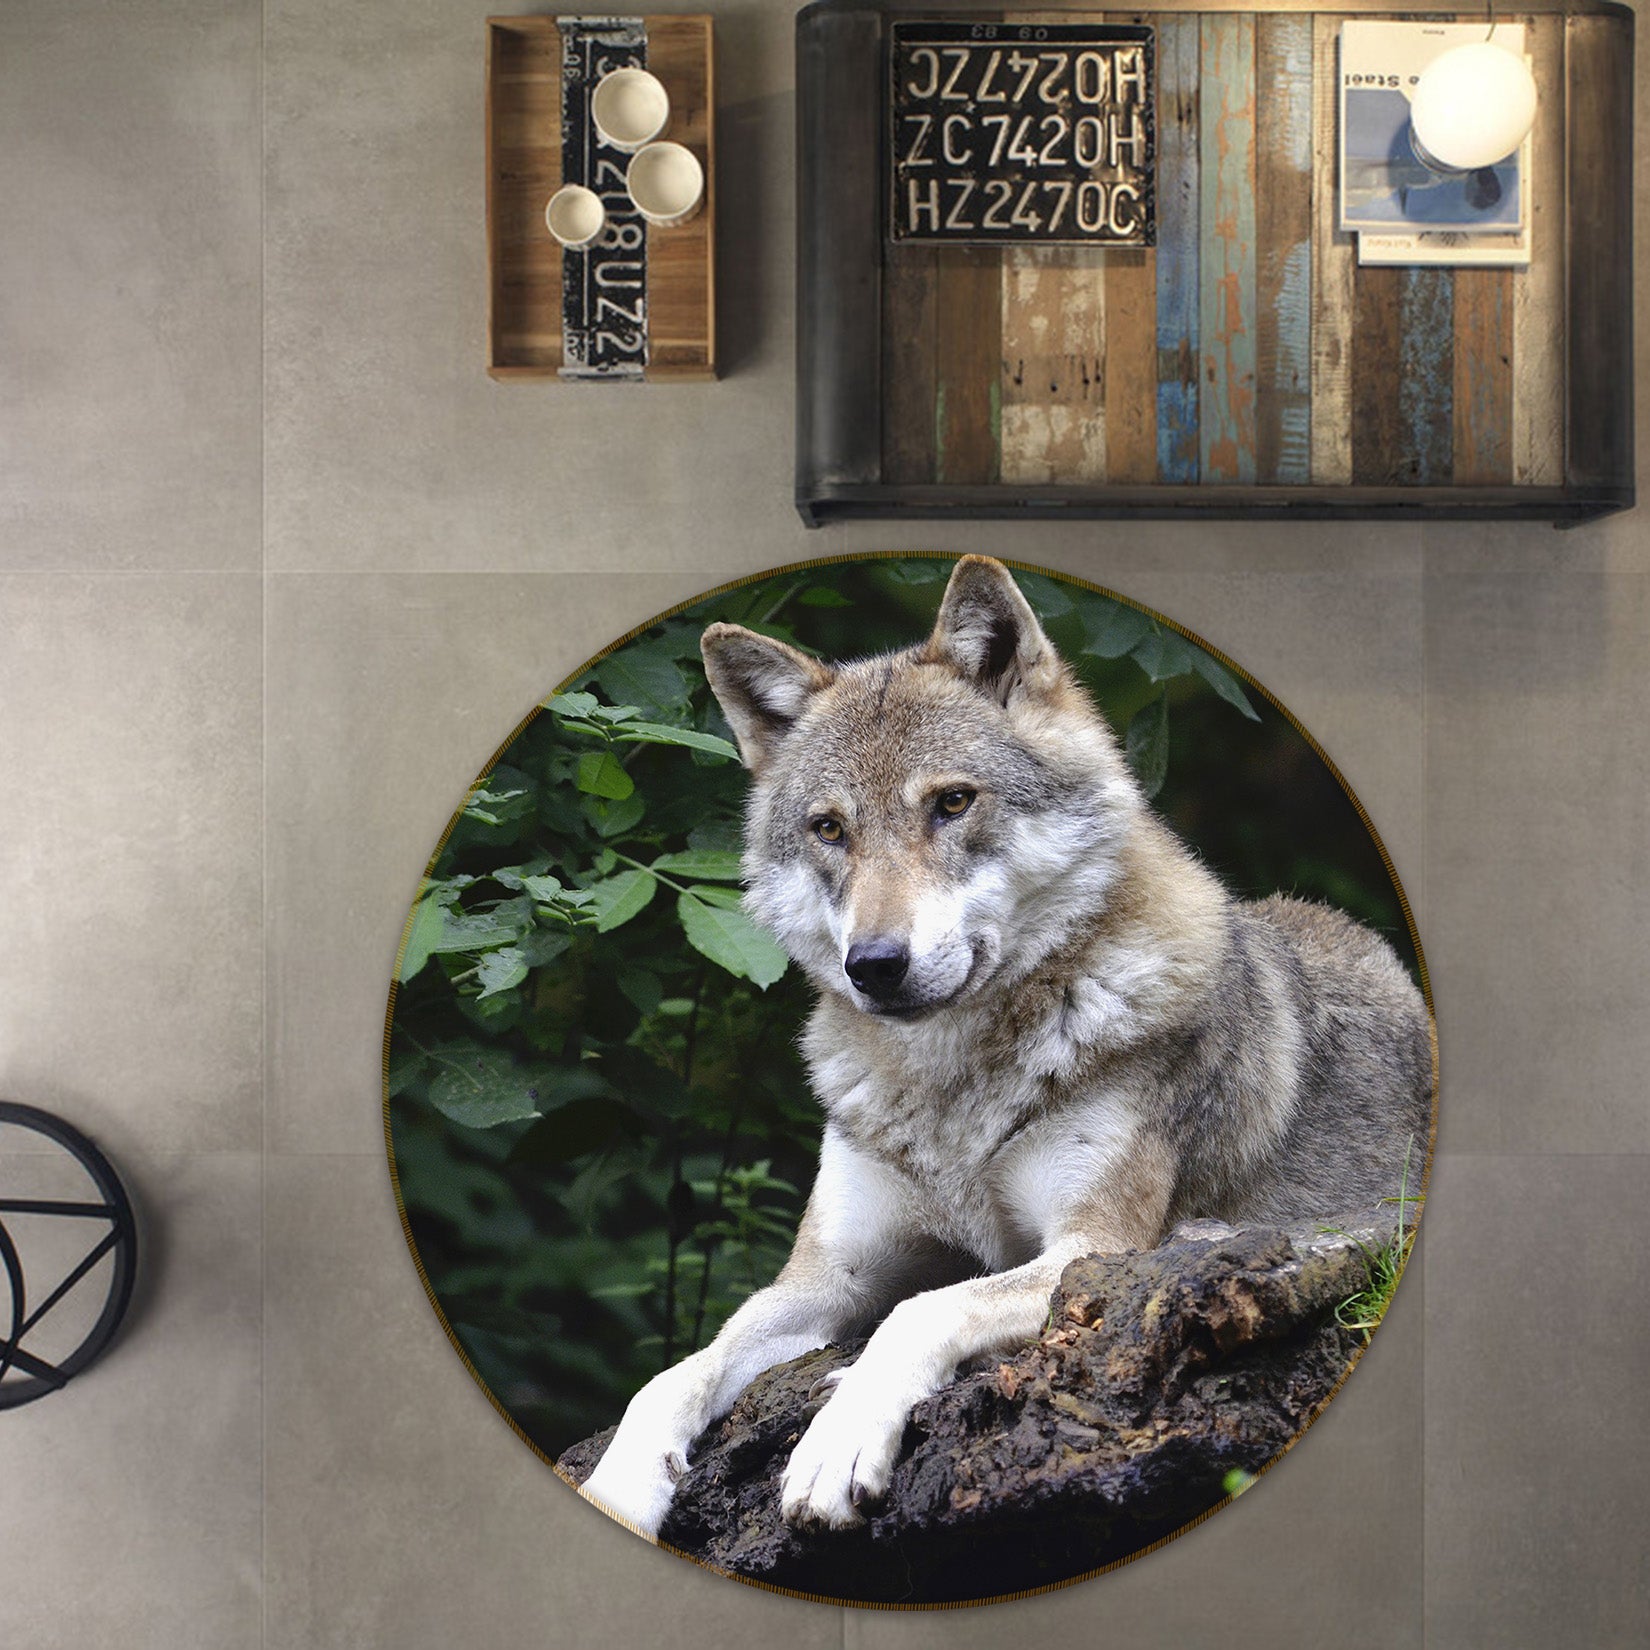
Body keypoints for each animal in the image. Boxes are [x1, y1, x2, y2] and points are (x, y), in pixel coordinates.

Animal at [579, 555, 1433, 1540]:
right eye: (830, 829)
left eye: (952, 803)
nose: (874, 965)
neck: (953, 1090)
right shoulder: (826, 1279)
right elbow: (677, 1371)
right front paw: (620, 1482)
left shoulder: (1094, 1250)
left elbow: (920, 1310)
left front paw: (836, 1445)